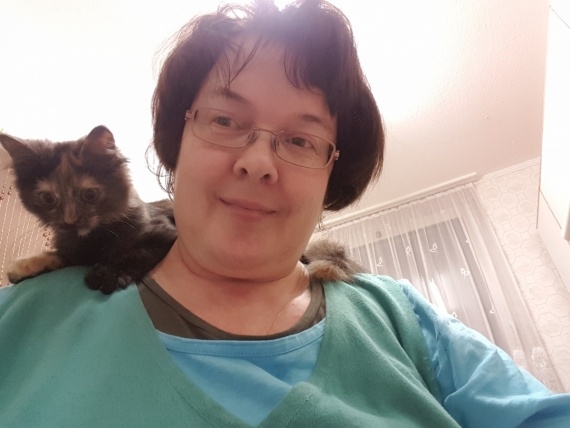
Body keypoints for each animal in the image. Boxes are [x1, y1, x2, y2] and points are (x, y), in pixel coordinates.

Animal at [0, 126, 177, 294]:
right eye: (48, 199)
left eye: (90, 194)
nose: (70, 220)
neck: (92, 238)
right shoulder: (75, 252)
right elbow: (61, 255)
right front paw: (25, 266)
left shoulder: (165, 234)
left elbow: (136, 253)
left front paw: (107, 274)